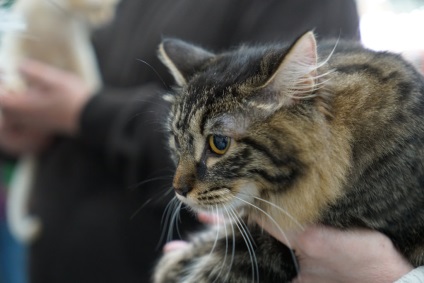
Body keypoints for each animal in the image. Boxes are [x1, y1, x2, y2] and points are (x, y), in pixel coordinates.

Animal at [0, 0, 119, 244]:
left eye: (112, 8)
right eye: (100, 9)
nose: (109, 18)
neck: (51, 18)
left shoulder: (77, 47)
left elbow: (88, 75)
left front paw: (93, 101)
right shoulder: (16, 32)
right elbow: (10, 58)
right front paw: (13, 85)